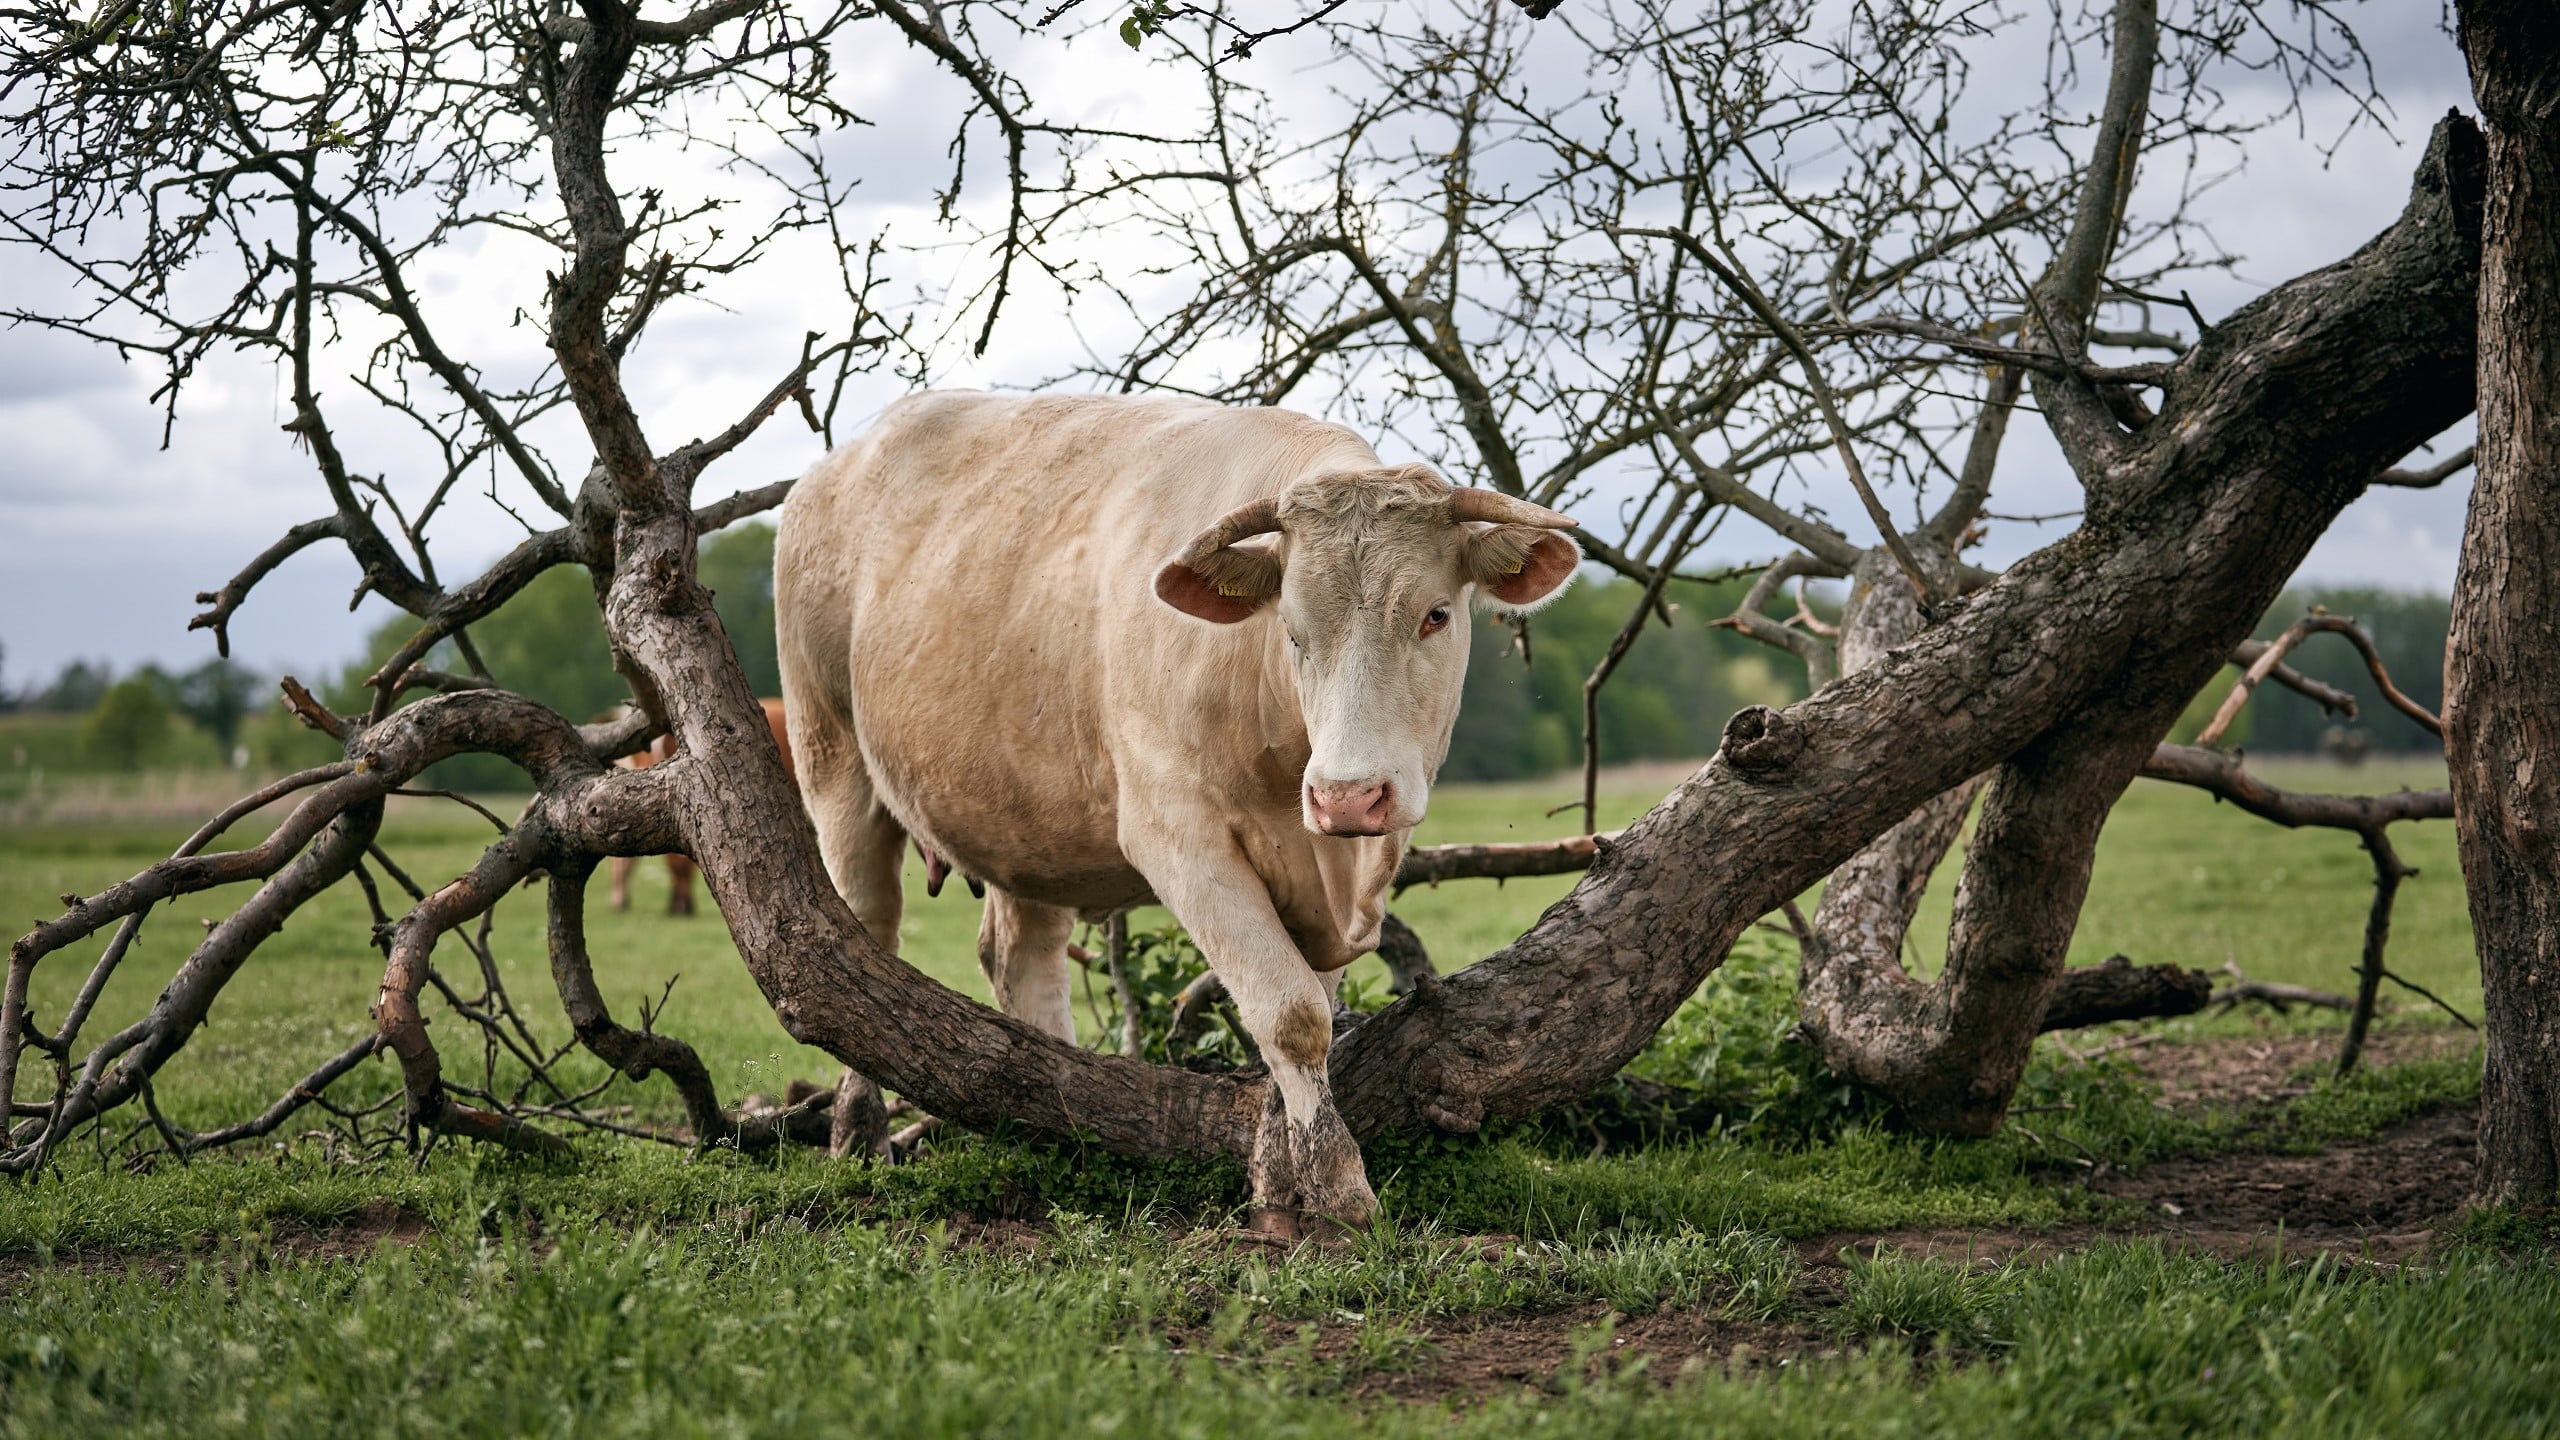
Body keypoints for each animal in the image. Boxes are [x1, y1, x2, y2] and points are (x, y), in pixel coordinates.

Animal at [773, 386, 1576, 1214]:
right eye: (1291, 631)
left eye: (1435, 614)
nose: (1349, 797)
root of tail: (833, 469)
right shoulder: (1177, 835)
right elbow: (1289, 1014)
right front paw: (1336, 1190)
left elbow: (1304, 1010)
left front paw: (1278, 1176)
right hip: (832, 753)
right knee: (865, 931)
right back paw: (858, 1132)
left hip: (1023, 818)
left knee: (1022, 957)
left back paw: (1053, 1113)